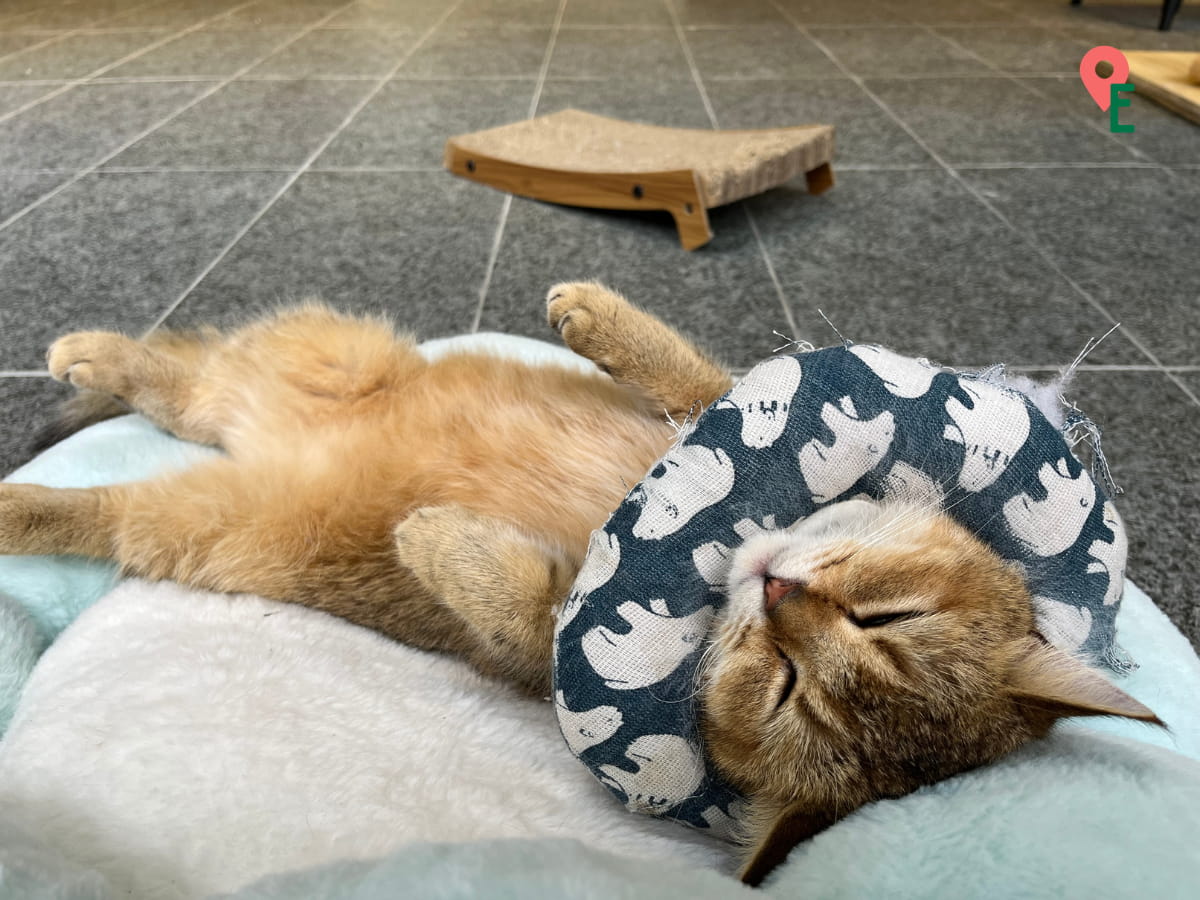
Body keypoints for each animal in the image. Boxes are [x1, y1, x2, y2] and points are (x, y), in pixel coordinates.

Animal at [0, 283, 1161, 888]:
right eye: (889, 614)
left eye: (784, 691)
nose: (779, 593)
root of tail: (260, 440)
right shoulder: (705, 409)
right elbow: (694, 370)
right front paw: (598, 315)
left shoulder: (542, 634)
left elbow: (513, 601)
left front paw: (433, 535)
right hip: (322, 358)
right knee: (181, 377)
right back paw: (87, 353)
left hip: (207, 522)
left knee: (128, 477)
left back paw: (17, 496)